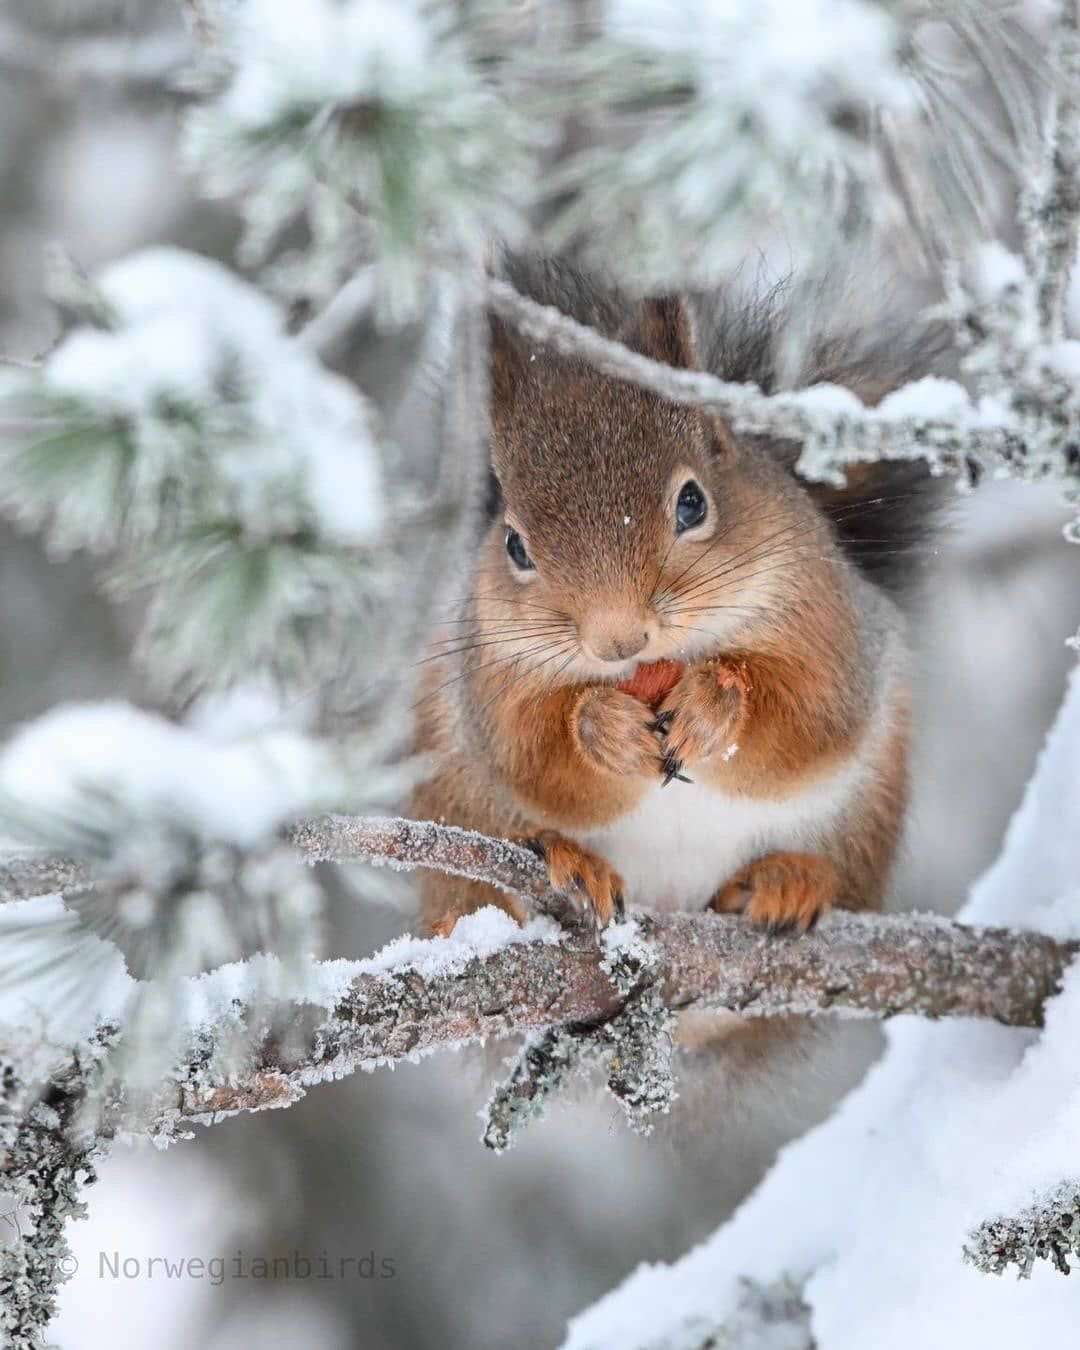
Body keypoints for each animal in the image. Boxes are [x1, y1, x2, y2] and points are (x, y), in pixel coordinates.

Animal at [413, 257, 934, 945]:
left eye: (693, 502)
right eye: (515, 546)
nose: (618, 641)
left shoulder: (829, 625)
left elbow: (807, 716)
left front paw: (713, 703)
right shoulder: (490, 680)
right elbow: (530, 754)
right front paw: (602, 726)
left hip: (863, 816)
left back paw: (783, 880)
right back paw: (558, 869)